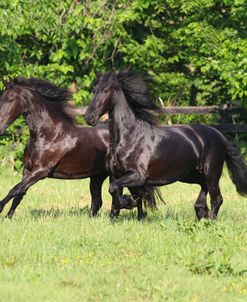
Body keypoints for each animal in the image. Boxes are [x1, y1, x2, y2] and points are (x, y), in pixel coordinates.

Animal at [84, 69, 247, 218]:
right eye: (94, 90)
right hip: (190, 175)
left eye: (105, 90)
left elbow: (119, 192)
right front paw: (125, 213)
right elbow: (116, 197)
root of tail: (219, 135)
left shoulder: (137, 176)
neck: (126, 139)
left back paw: (210, 221)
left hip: (211, 172)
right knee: (203, 190)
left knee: (217, 198)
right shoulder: (116, 176)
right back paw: (201, 212)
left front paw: (129, 203)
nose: (89, 117)